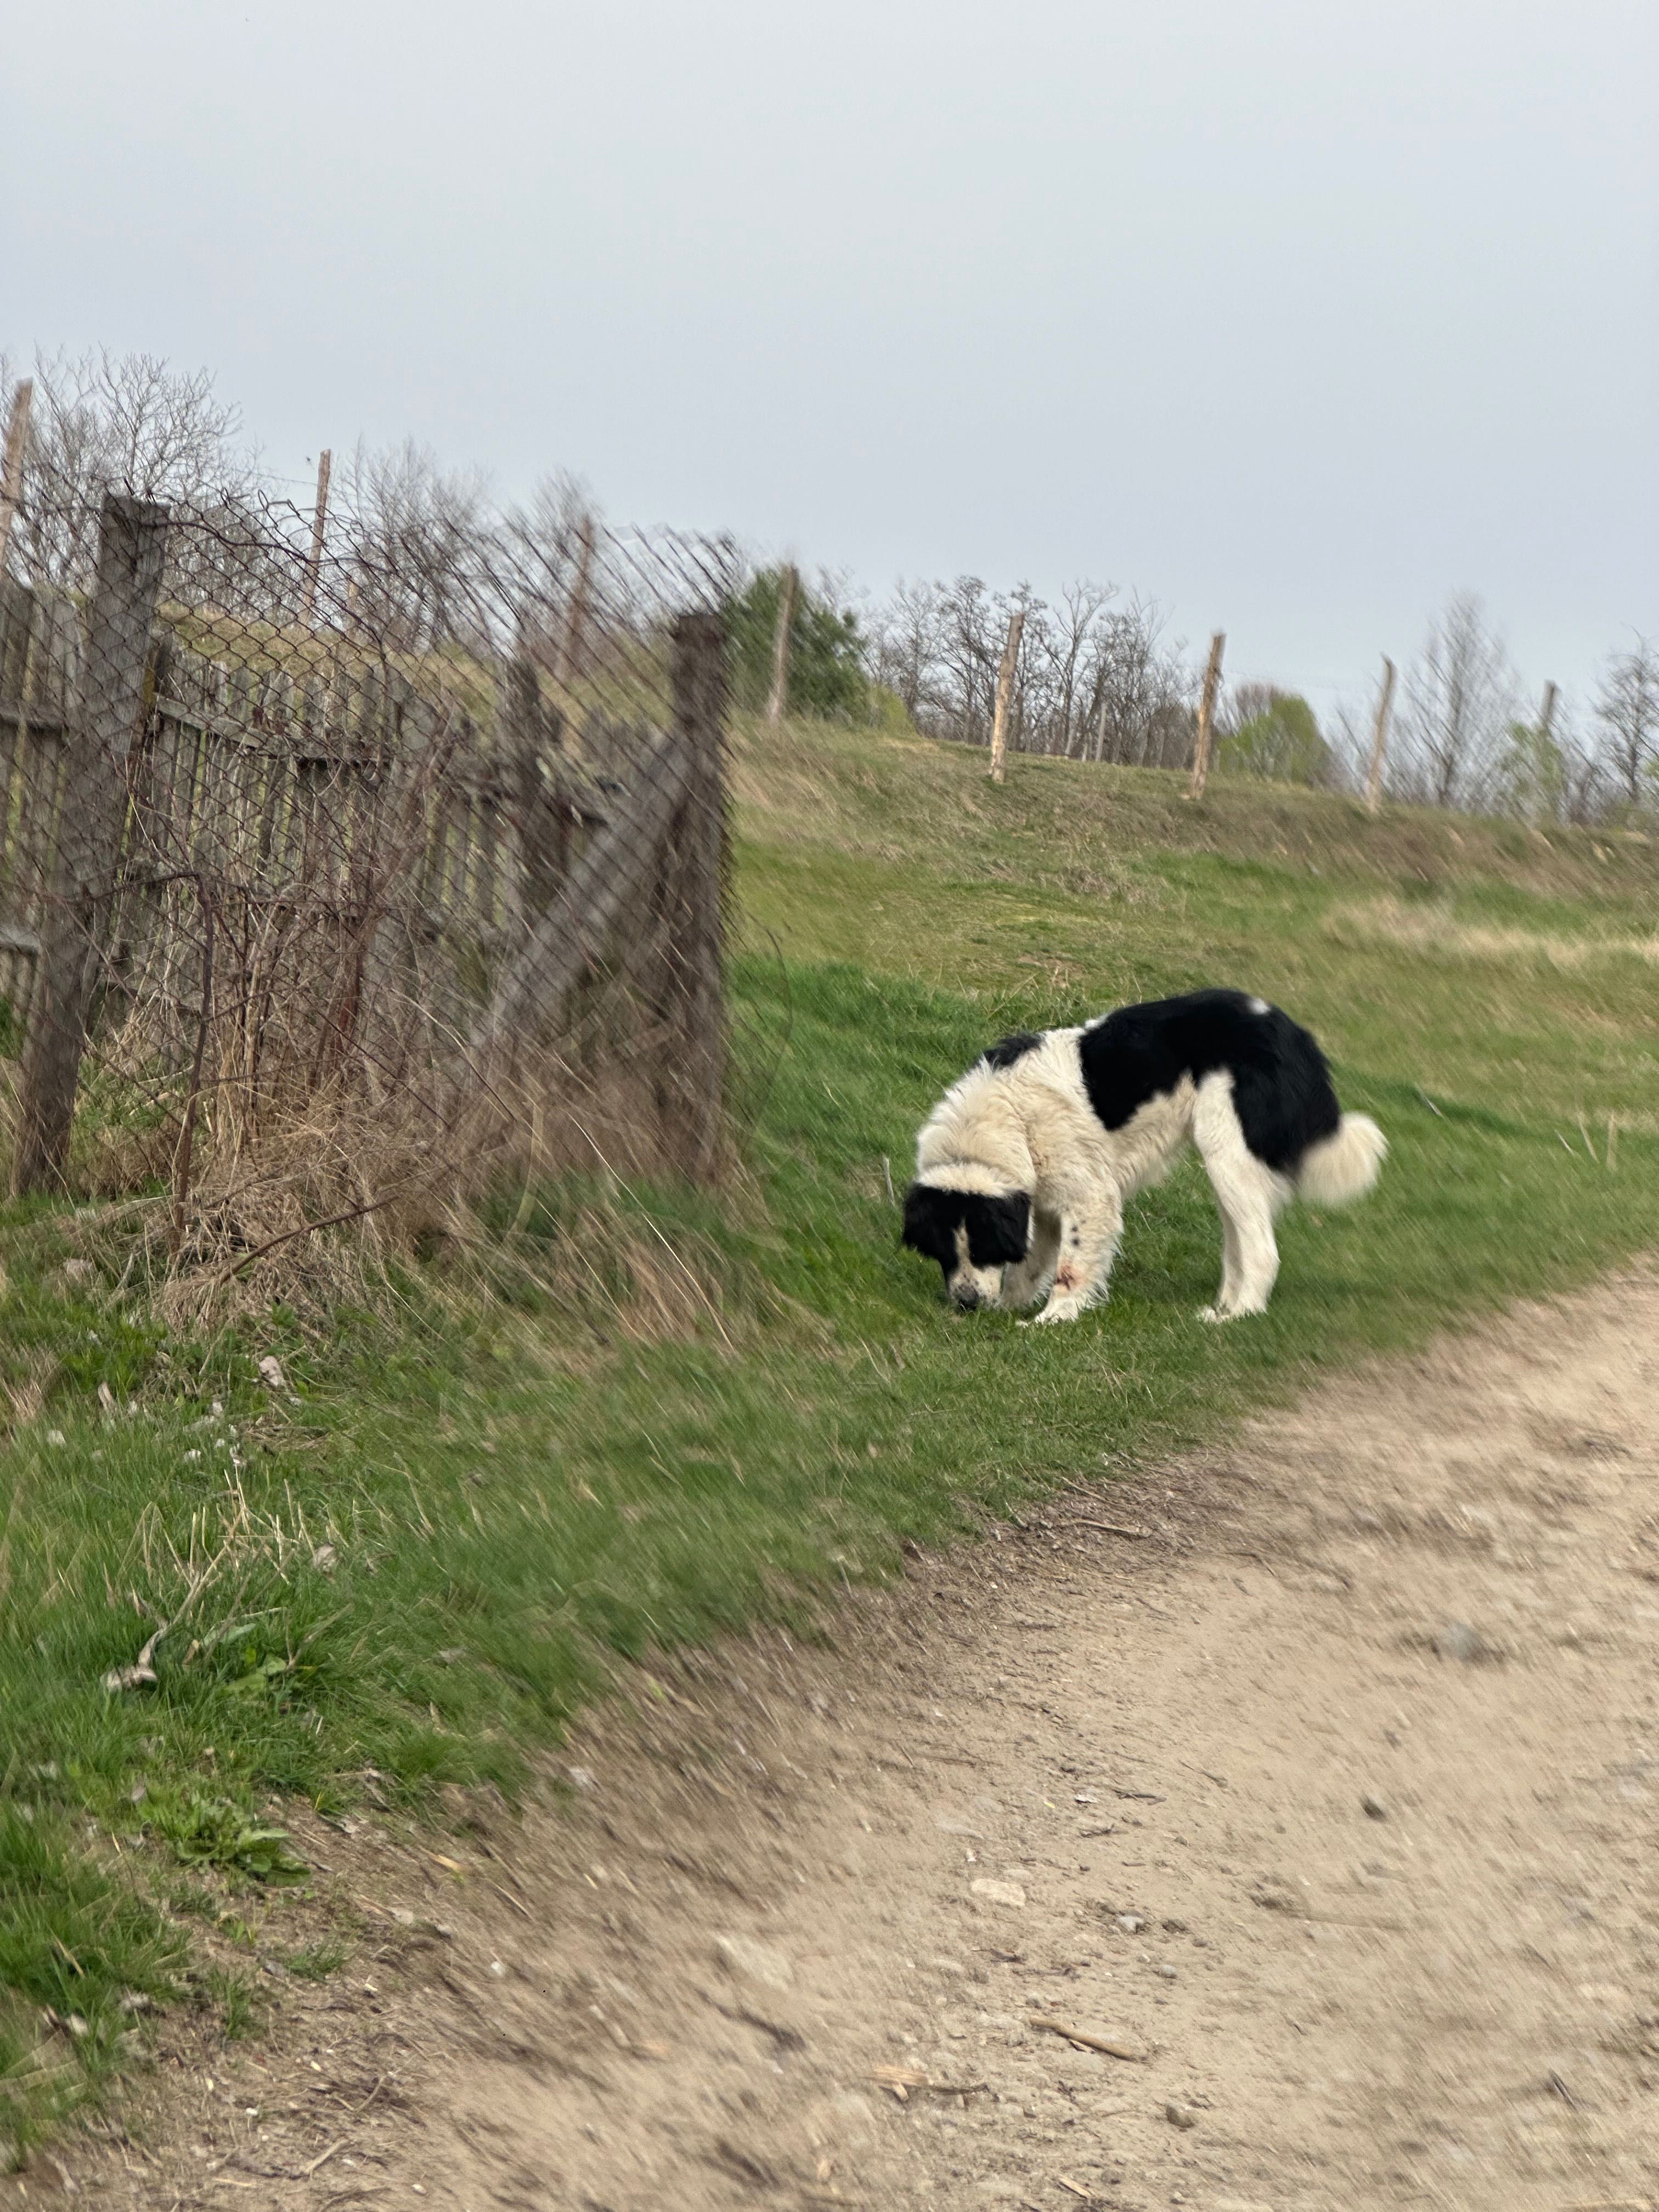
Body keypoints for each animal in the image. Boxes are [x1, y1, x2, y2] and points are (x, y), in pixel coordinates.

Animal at [902, 995, 1380, 1318]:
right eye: (944, 1251)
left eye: (982, 1247)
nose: (966, 1303)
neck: (1005, 1122)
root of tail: (1296, 1034)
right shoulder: (1041, 1201)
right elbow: (1031, 1263)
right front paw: (1008, 1309)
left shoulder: (1090, 1198)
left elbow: (1070, 1268)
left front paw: (1051, 1320)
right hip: (1229, 1170)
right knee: (1239, 1246)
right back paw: (1223, 1308)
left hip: (1229, 1153)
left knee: (1263, 1250)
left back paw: (1237, 1316)